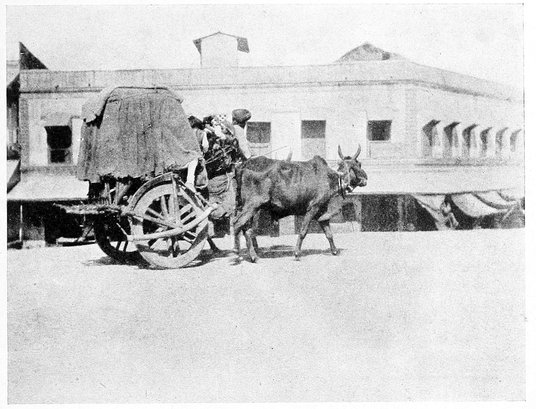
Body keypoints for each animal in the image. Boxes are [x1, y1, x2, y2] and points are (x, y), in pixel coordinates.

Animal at [233, 145, 367, 262]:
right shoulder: (313, 208)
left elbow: (329, 233)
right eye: (359, 164)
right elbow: (303, 231)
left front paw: (334, 250)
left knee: (244, 229)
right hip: (253, 206)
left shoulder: (321, 212)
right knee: (240, 225)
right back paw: (242, 253)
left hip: (249, 208)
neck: (332, 179)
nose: (366, 178)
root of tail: (243, 167)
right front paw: (297, 253)